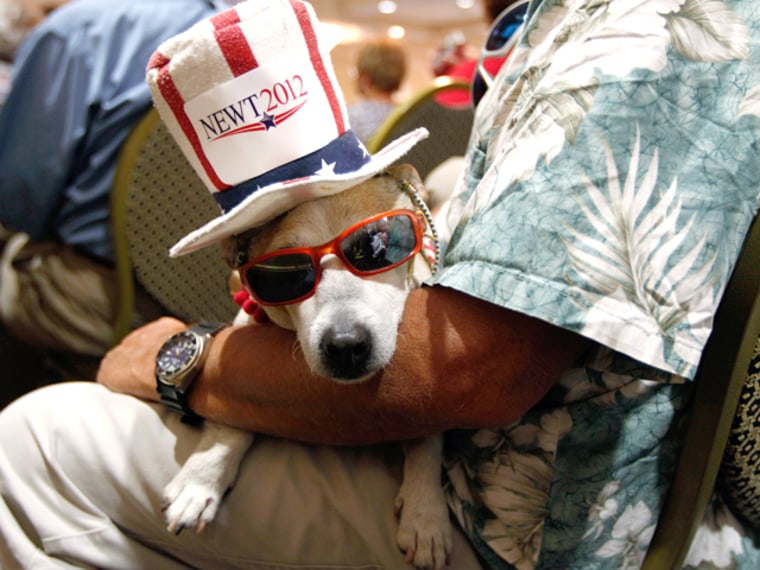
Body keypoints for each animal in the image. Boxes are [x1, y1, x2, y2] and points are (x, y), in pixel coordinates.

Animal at [160, 164, 452, 568]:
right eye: (284, 272)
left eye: (375, 245)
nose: (345, 346)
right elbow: (230, 424)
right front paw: (201, 478)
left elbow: (427, 439)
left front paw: (425, 513)